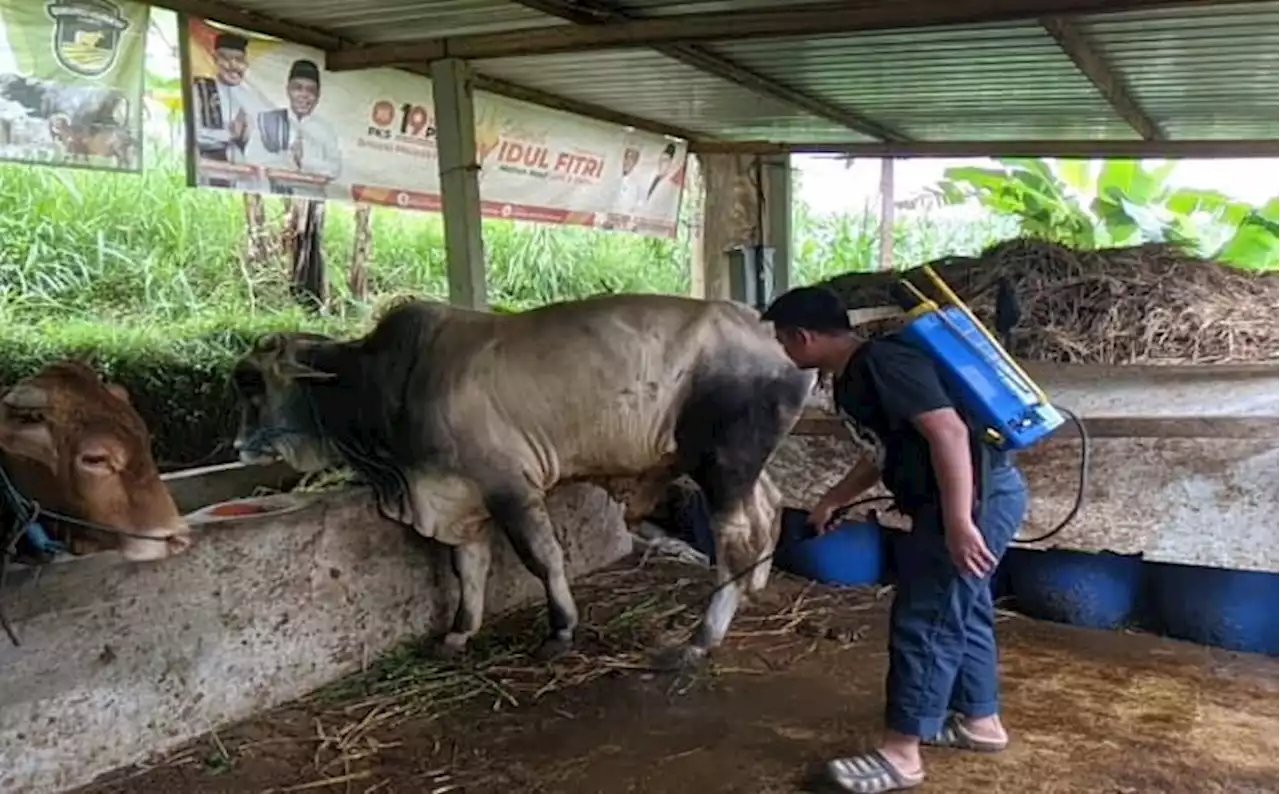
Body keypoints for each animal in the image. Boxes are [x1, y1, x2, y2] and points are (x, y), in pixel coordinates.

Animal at [232, 294, 808, 665]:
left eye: (252, 383)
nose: (238, 447)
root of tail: (762, 332)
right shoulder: (460, 499)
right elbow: (468, 569)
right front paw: (459, 633)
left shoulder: (511, 487)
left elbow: (542, 558)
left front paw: (562, 629)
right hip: (738, 466)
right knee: (771, 507)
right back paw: (755, 585)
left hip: (723, 464)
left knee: (735, 539)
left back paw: (702, 637)